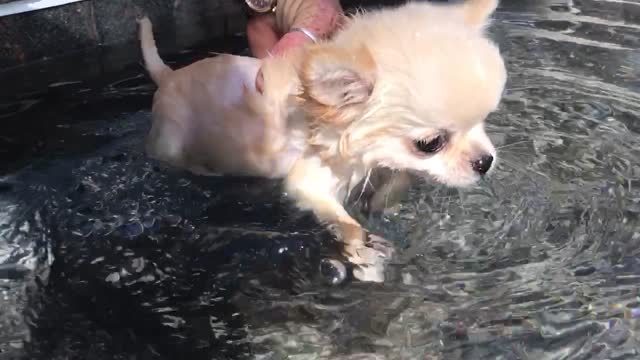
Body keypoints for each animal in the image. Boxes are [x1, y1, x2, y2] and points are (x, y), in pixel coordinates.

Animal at [139, 0, 504, 282]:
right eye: (430, 143)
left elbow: (396, 179)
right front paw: (367, 258)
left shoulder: (381, 165)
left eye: (483, 121)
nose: (485, 161)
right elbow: (349, 225)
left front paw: (383, 203)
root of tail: (168, 76)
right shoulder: (308, 181)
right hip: (170, 143)